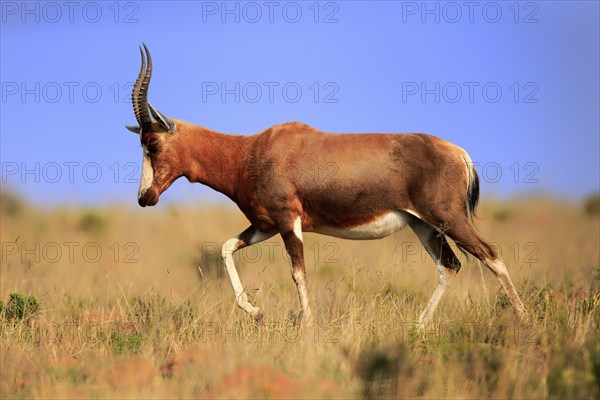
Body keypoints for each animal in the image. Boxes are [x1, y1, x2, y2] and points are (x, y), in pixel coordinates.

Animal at [124, 43, 528, 326]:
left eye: (152, 143)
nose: (145, 197)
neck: (252, 150)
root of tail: (458, 152)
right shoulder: (266, 225)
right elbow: (225, 248)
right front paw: (256, 312)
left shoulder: (288, 221)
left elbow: (297, 272)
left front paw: (305, 325)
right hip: (423, 225)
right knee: (450, 266)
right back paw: (419, 327)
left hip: (448, 219)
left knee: (491, 253)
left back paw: (525, 321)